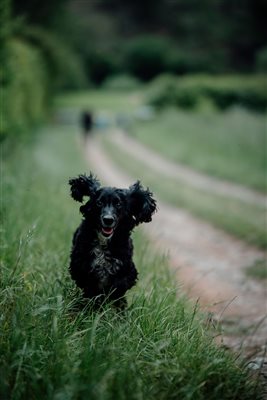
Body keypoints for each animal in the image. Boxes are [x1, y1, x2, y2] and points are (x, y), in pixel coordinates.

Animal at [68, 173, 157, 310]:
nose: (108, 219)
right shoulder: (80, 265)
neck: (104, 243)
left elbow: (118, 286)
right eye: (99, 202)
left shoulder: (127, 270)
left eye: (118, 204)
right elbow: (88, 285)